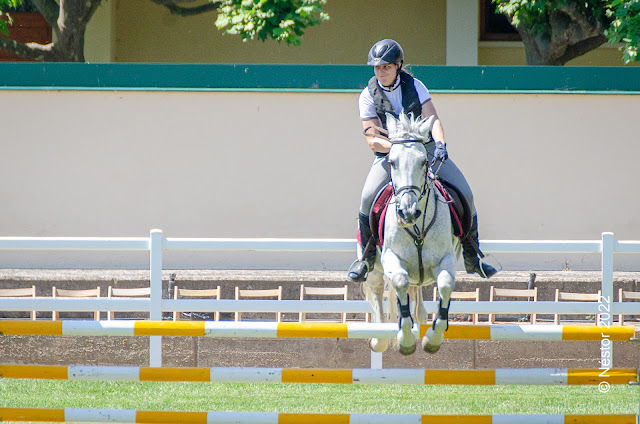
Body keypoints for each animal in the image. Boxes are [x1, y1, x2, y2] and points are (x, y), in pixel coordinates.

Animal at [364, 112, 460, 354]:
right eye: (391, 162)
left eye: (424, 161)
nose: (408, 212)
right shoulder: (391, 258)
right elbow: (399, 281)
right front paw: (405, 340)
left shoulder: (446, 258)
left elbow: (445, 284)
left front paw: (432, 339)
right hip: (374, 268)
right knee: (377, 289)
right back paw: (379, 339)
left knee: (416, 290)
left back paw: (422, 318)